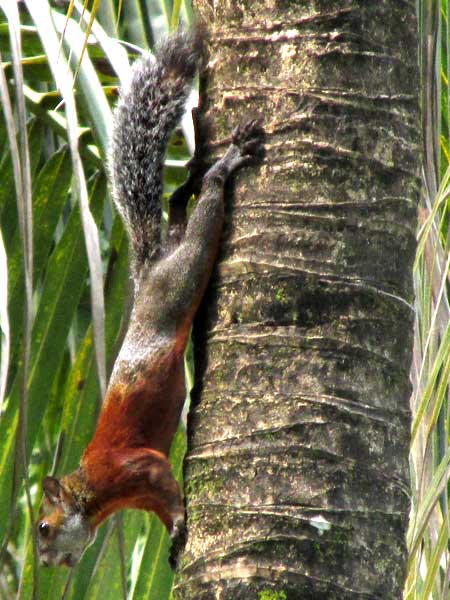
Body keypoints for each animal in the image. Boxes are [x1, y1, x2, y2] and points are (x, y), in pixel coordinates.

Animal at [37, 30, 266, 568]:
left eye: (43, 528)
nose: (45, 562)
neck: (93, 492)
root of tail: (149, 269)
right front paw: (173, 540)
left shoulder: (138, 468)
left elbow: (166, 484)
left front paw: (181, 524)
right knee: (180, 208)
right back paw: (188, 177)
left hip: (180, 282)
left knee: (203, 223)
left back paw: (222, 167)